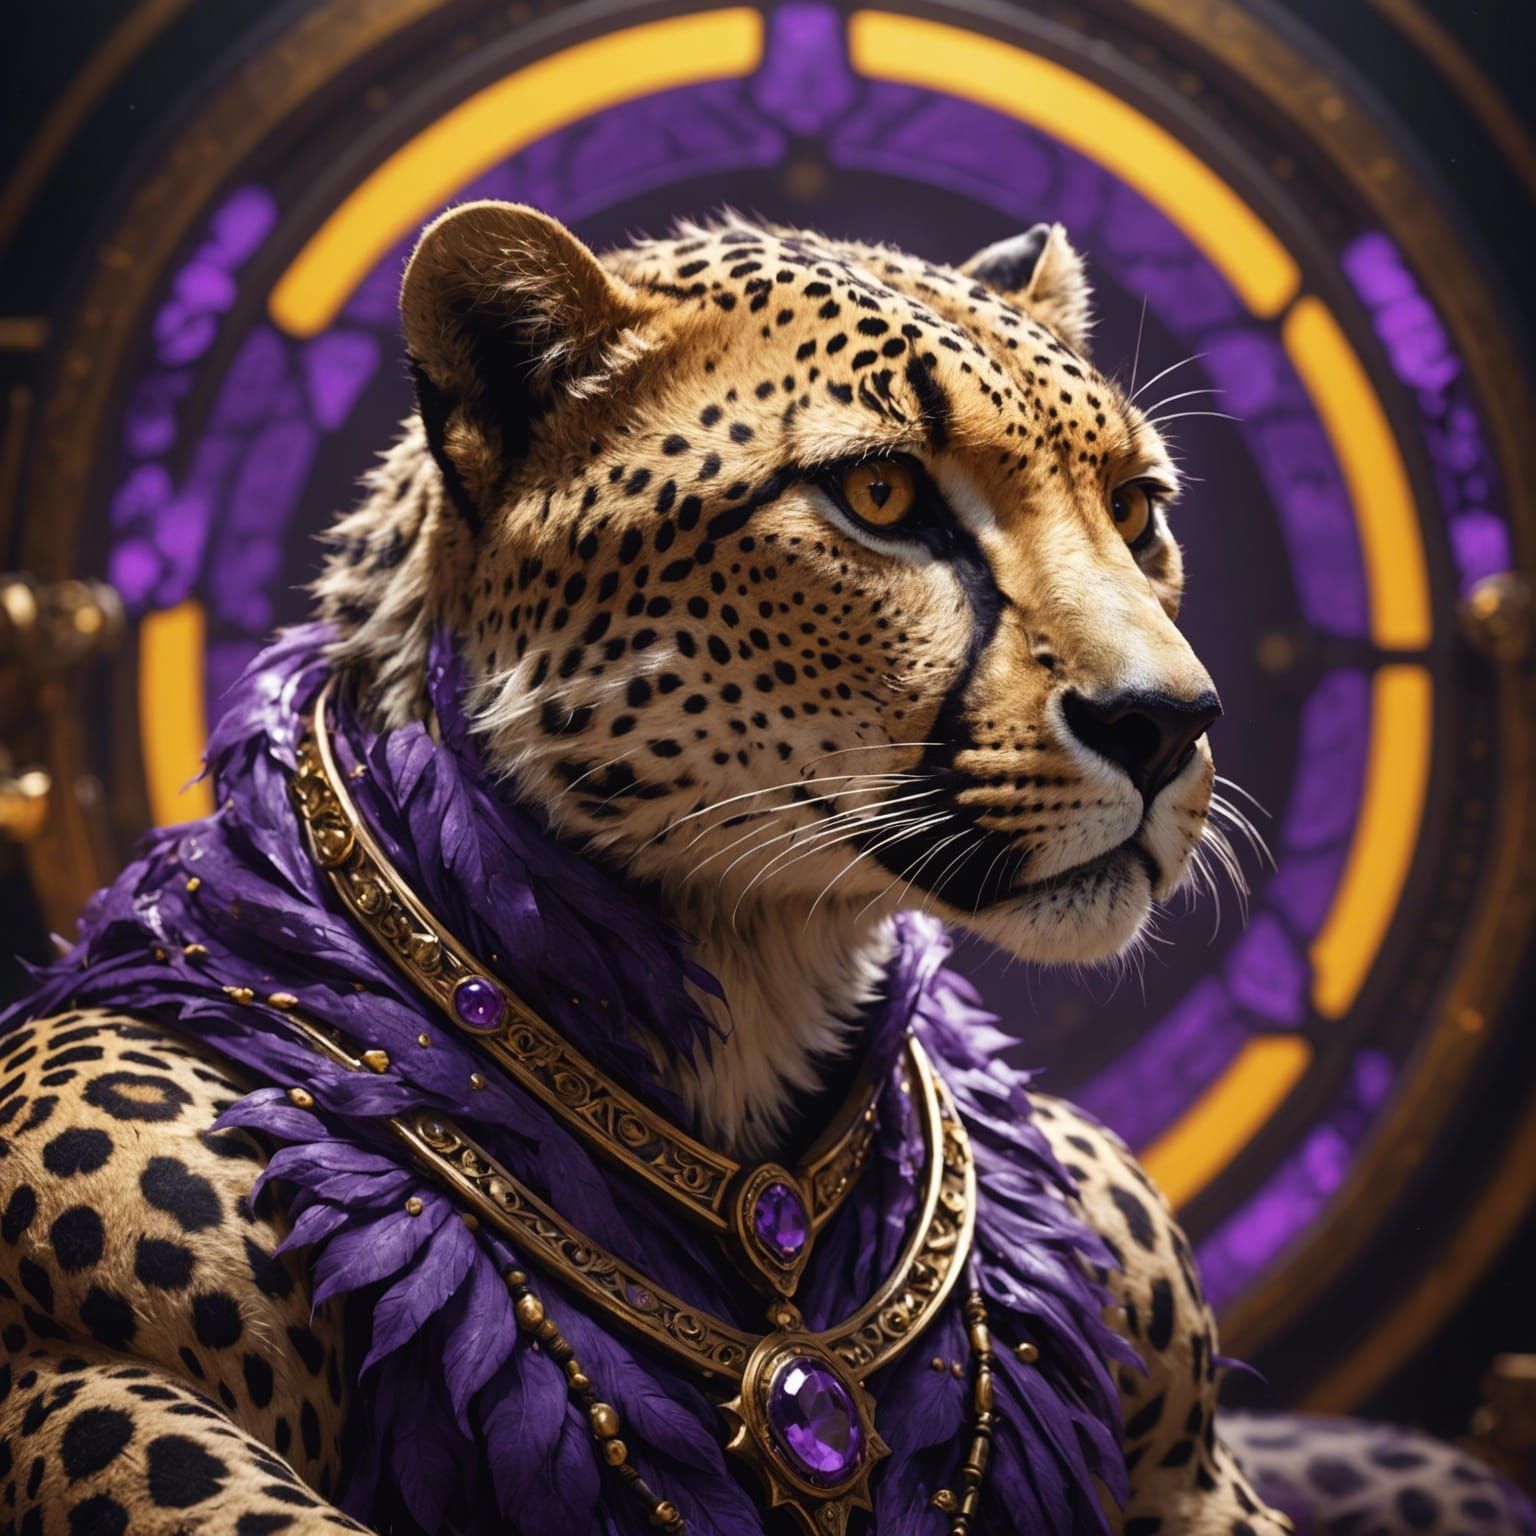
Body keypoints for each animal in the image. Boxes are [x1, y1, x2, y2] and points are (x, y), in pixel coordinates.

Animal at [1, 203, 1527, 1536]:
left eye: (1136, 508)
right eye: (881, 493)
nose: (1170, 720)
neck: (756, 1008)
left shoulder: (1193, 1467)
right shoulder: (99, 1368)